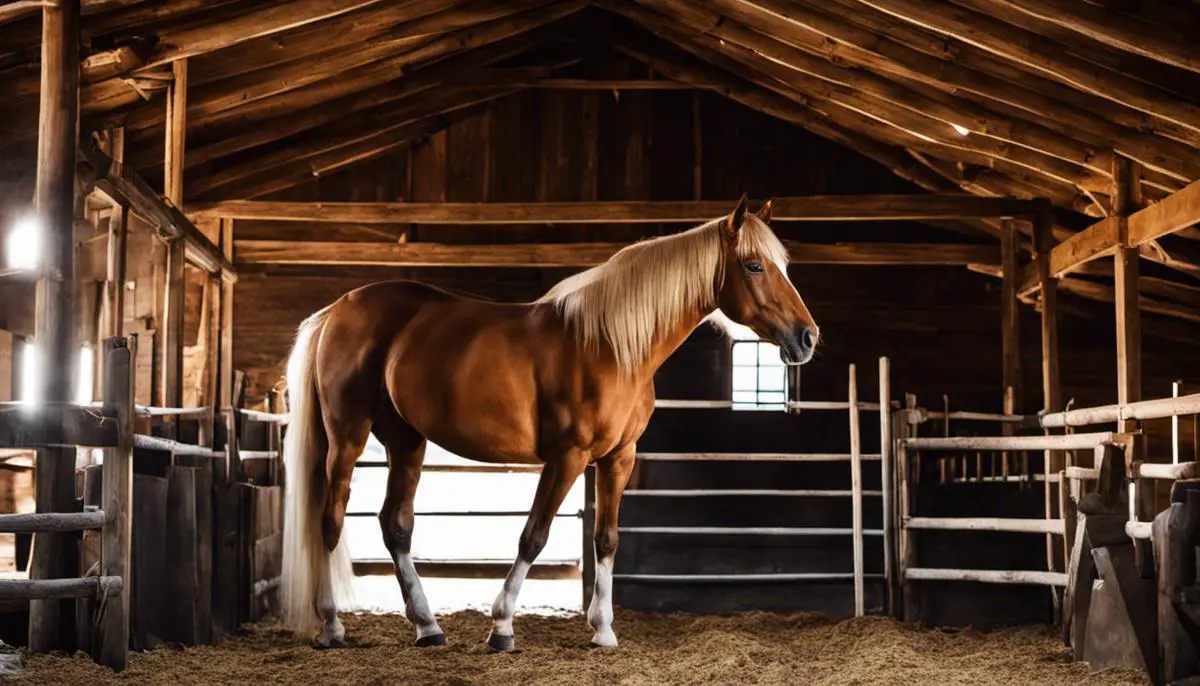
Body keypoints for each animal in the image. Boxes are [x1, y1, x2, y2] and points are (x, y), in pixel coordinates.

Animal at [282, 195, 820, 652]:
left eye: (782, 266)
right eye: (753, 265)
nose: (807, 337)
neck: (610, 346)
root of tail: (338, 309)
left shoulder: (618, 459)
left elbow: (607, 539)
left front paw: (603, 631)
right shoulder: (567, 457)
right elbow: (533, 535)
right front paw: (502, 627)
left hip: (407, 441)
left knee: (395, 525)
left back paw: (428, 627)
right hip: (347, 438)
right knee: (330, 519)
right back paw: (331, 625)